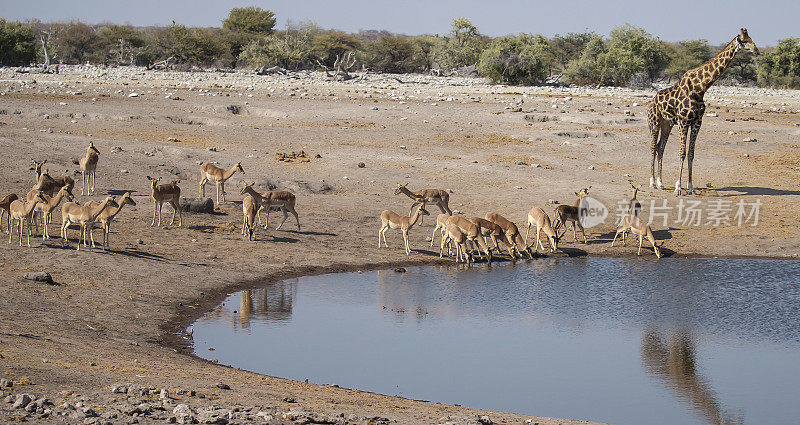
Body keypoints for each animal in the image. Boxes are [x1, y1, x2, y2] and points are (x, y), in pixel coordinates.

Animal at [648, 29, 760, 195]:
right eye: (744, 41)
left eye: (751, 38)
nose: (756, 50)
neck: (700, 88)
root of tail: (651, 102)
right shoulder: (683, 121)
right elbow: (682, 152)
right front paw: (678, 187)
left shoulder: (697, 122)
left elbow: (691, 153)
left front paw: (690, 187)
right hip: (654, 122)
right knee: (653, 147)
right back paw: (652, 182)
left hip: (667, 124)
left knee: (660, 147)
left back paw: (661, 183)